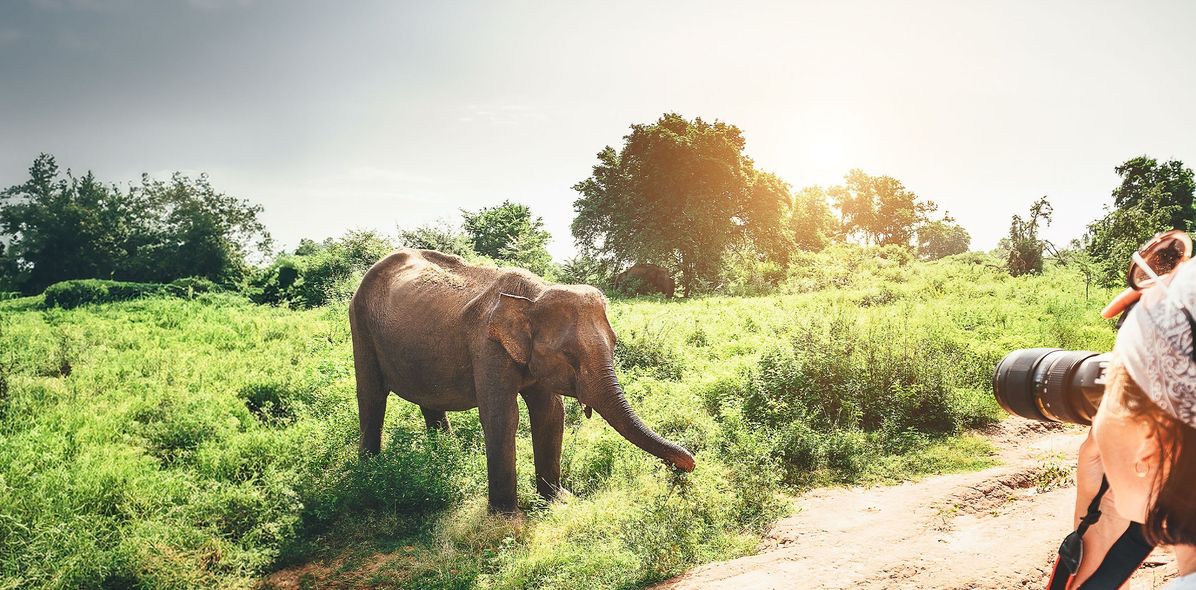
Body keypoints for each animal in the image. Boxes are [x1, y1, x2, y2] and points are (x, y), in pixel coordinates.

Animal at [349, 248, 698, 509]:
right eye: (568, 355)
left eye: (614, 343)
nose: (687, 465)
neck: (533, 296)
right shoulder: (487, 346)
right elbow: (502, 416)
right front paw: (506, 517)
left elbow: (550, 413)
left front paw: (559, 501)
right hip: (360, 322)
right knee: (371, 395)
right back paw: (368, 473)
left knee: (428, 401)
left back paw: (446, 457)